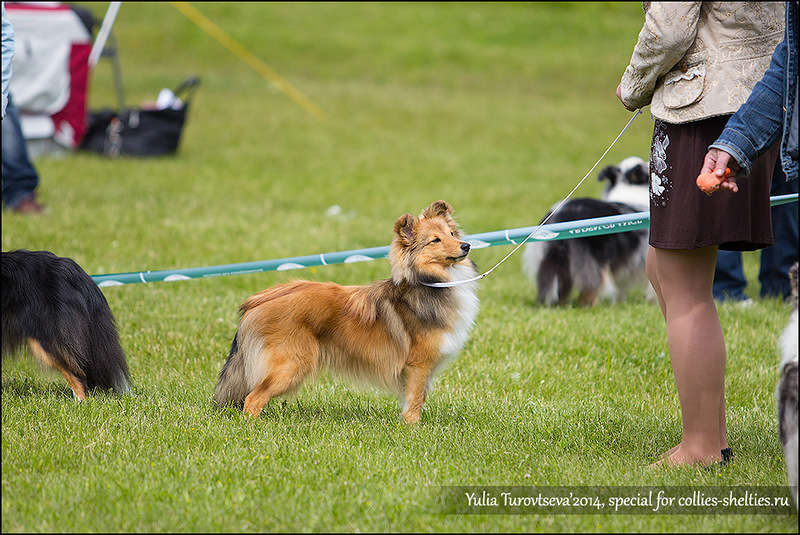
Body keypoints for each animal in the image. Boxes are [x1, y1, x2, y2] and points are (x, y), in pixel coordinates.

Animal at [212, 199, 478, 426]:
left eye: (451, 234)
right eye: (435, 240)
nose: (467, 246)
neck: (433, 281)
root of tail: (257, 302)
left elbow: (416, 400)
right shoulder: (418, 366)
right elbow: (414, 402)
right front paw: (412, 429)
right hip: (290, 365)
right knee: (252, 399)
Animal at [524, 156, 648, 306]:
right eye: (642, 166)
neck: (629, 188)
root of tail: (562, 215)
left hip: (555, 258)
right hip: (594, 261)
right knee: (590, 289)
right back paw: (590, 306)